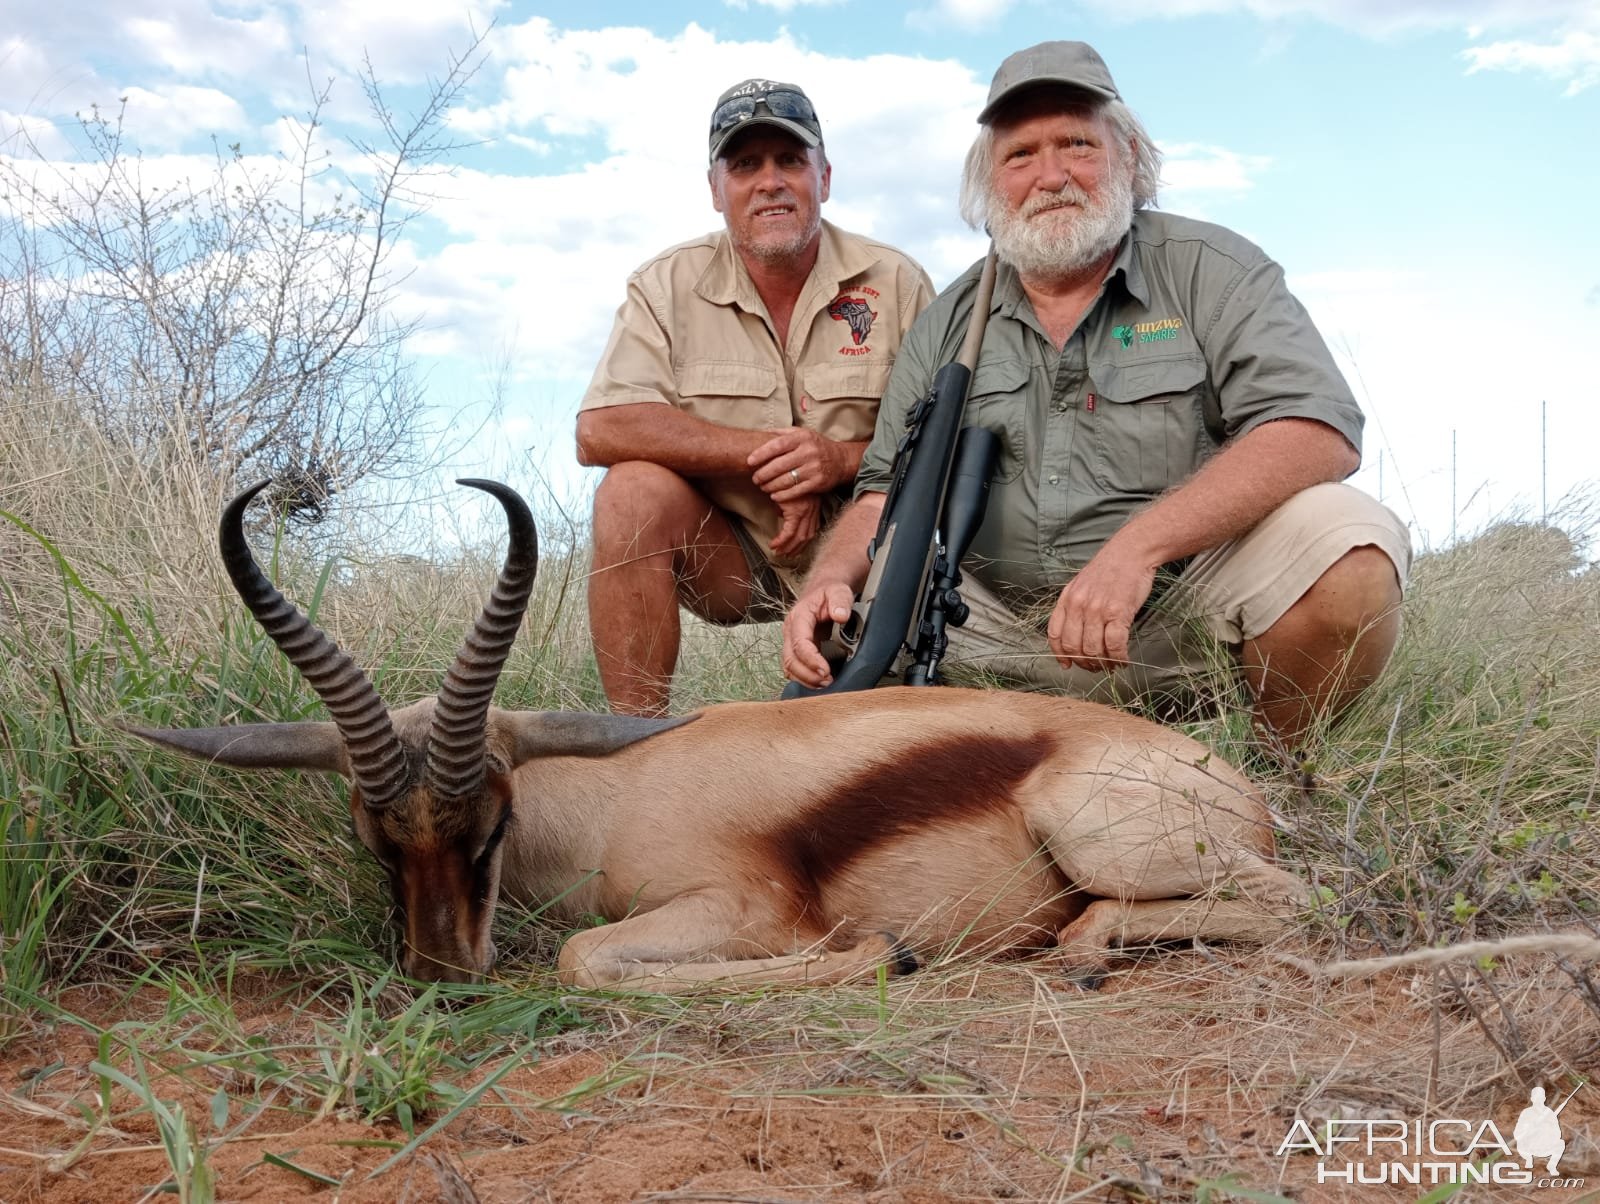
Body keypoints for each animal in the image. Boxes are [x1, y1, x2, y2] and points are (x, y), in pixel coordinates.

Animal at [134, 480, 1312, 986]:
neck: (606, 797)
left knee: (1297, 900)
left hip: (1100, 834)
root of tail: (1229, 782)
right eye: (377, 839)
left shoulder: (739, 909)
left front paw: (877, 951)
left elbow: (583, 959)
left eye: (487, 829)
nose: (440, 971)